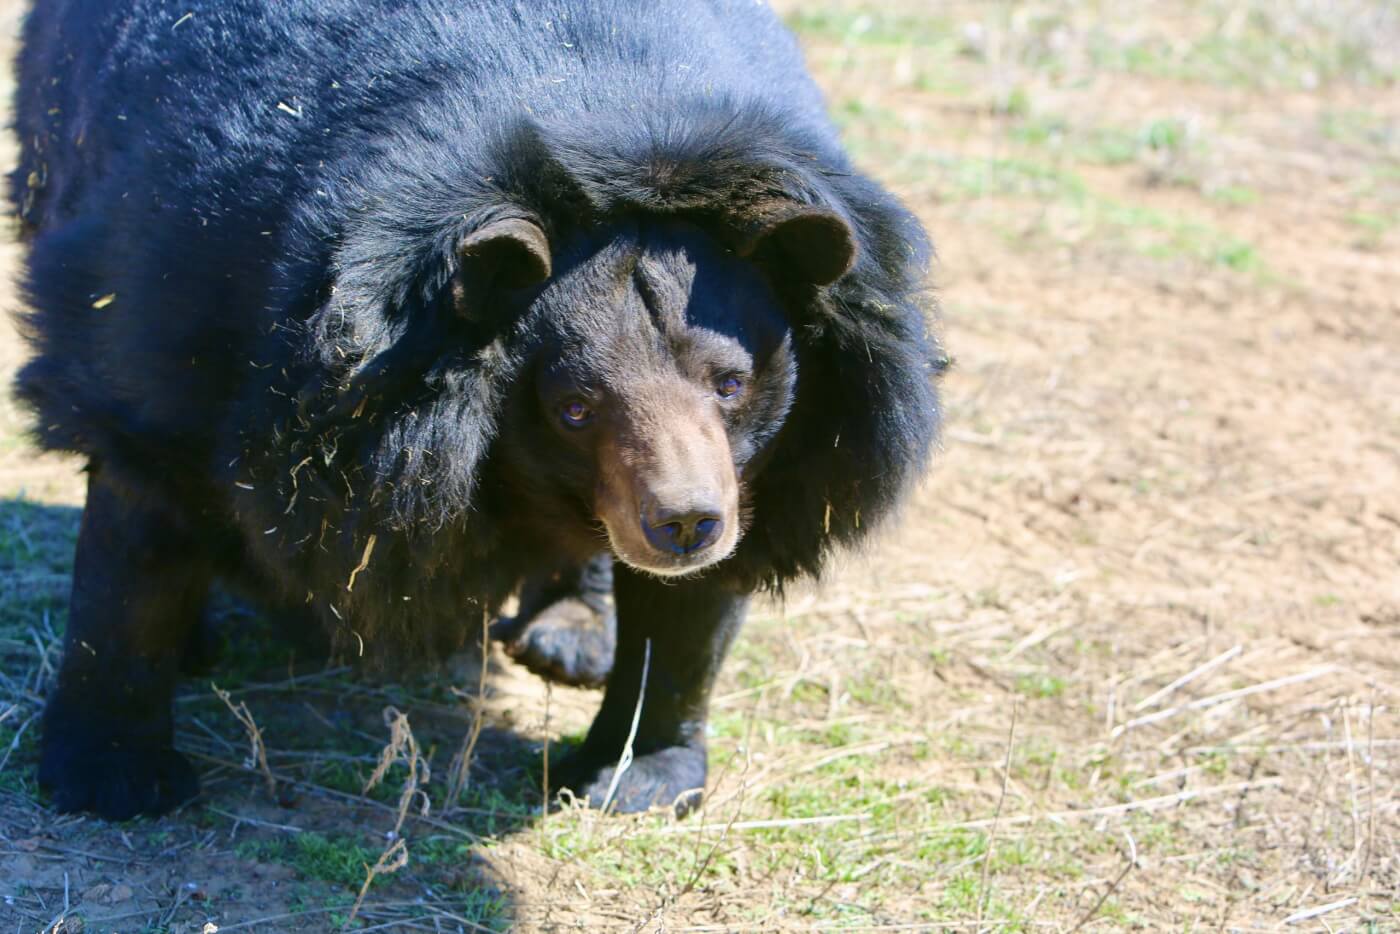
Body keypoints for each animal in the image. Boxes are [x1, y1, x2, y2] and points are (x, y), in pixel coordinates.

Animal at [10, 0, 946, 817]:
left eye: (730, 383)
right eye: (573, 407)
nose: (686, 522)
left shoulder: (786, 453)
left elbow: (693, 612)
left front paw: (633, 779)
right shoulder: (191, 308)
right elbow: (139, 527)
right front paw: (113, 777)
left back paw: (574, 633)